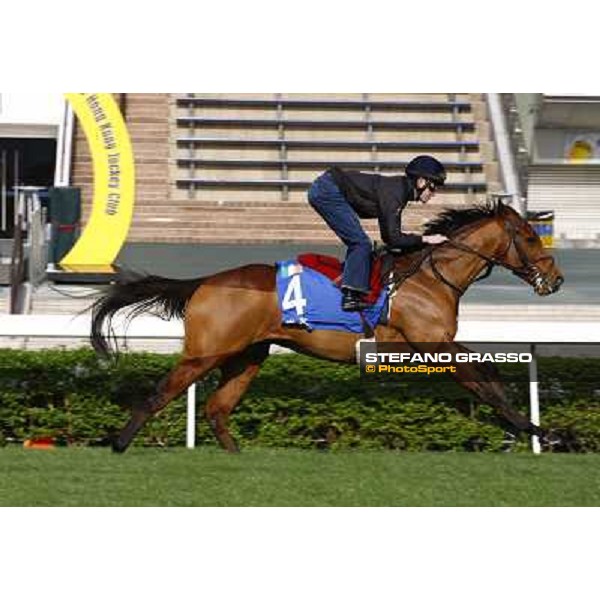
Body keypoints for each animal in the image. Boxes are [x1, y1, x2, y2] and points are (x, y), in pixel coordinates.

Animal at [90, 199, 564, 452]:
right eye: (530, 236)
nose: (556, 279)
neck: (431, 276)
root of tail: (205, 281)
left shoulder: (437, 344)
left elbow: (489, 373)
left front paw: (524, 430)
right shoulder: (432, 344)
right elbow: (484, 383)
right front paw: (534, 430)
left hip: (247, 356)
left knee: (217, 409)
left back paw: (239, 456)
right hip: (208, 351)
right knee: (160, 394)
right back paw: (118, 444)